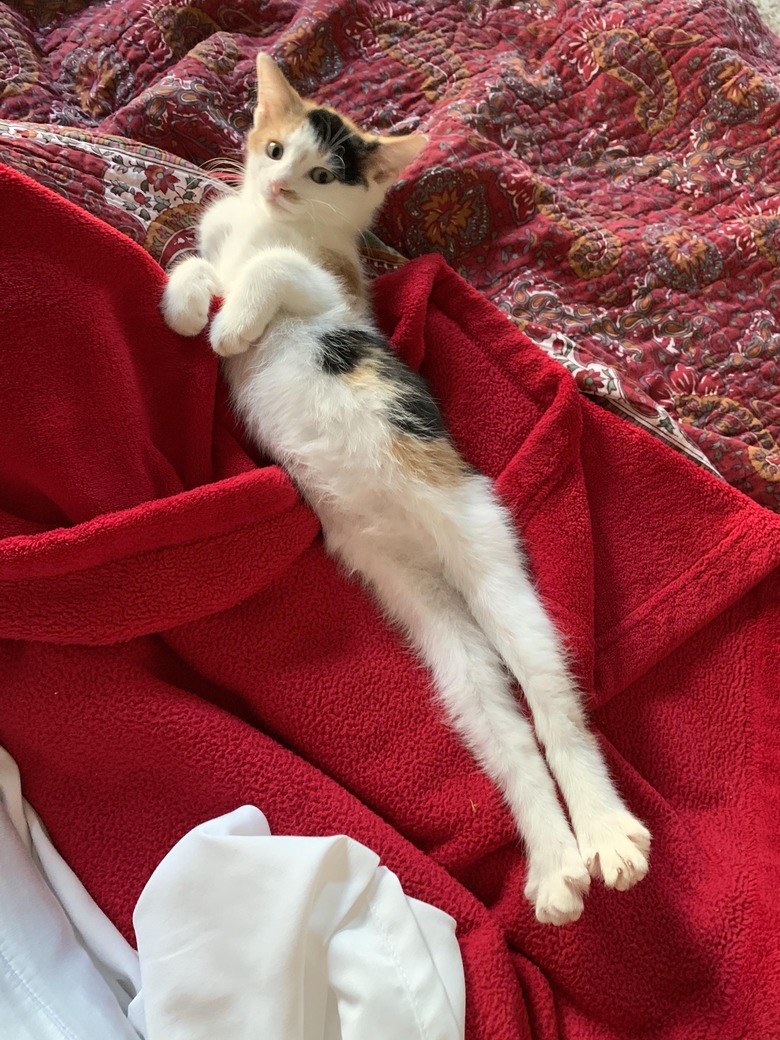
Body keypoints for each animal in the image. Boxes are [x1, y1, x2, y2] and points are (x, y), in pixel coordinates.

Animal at [162, 52, 648, 923]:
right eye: (275, 150)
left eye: (323, 174)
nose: (278, 185)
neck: (267, 225)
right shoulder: (225, 246)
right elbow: (197, 263)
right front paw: (190, 309)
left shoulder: (336, 295)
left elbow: (271, 271)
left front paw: (229, 326)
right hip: (426, 614)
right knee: (505, 730)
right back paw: (555, 868)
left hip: (490, 559)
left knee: (554, 709)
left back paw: (605, 837)